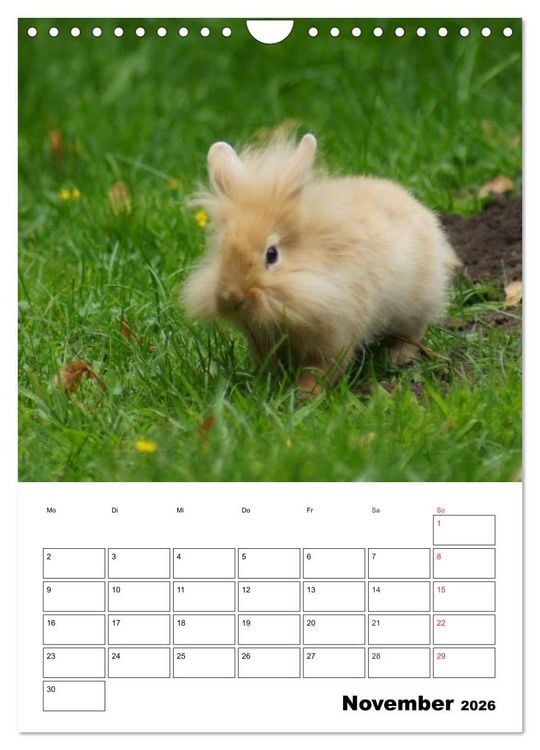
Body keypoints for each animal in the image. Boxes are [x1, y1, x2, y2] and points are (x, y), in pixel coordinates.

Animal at [181, 133, 460, 395]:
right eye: (222, 250)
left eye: (272, 254)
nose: (232, 298)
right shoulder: (262, 340)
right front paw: (268, 386)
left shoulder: (336, 337)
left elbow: (321, 368)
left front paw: (305, 393)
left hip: (415, 306)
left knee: (412, 332)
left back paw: (397, 359)